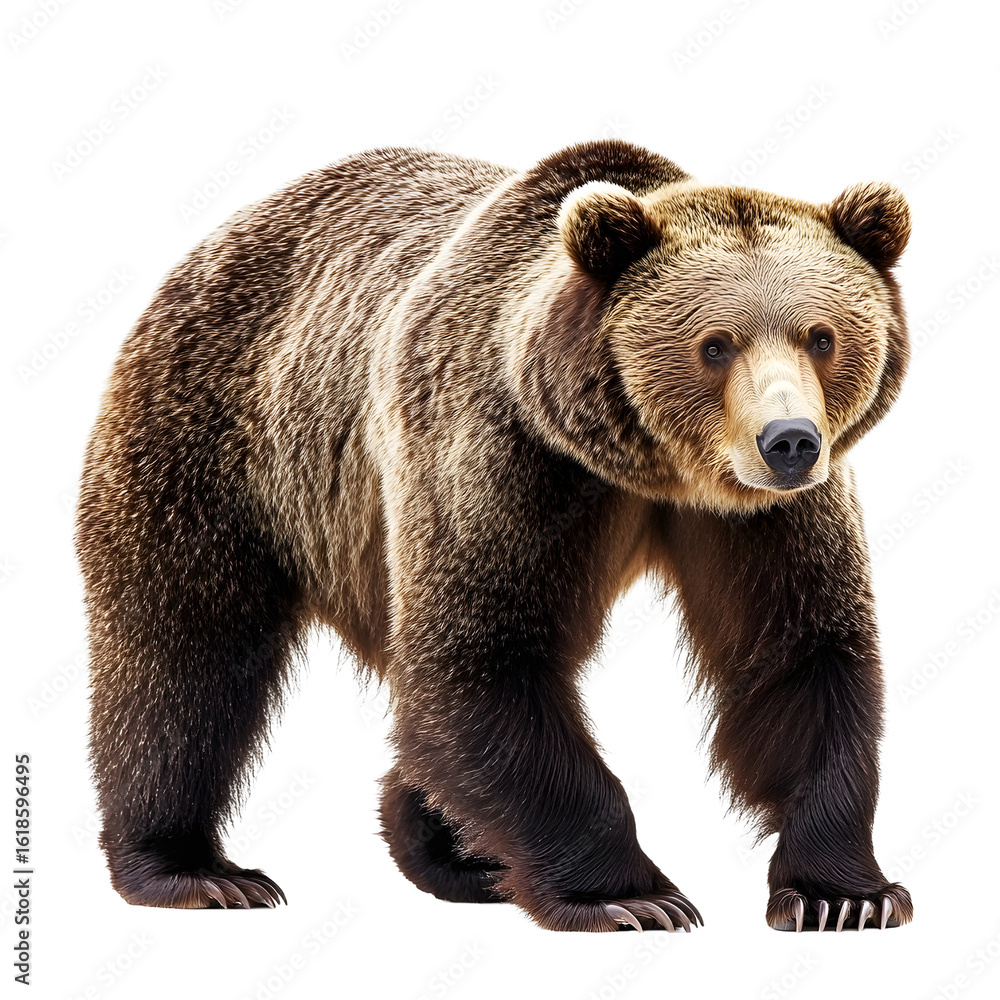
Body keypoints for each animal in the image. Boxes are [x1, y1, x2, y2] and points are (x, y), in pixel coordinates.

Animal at [76, 139, 913, 933]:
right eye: (716, 343)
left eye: (822, 336)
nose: (789, 440)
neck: (647, 467)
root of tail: (218, 237)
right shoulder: (497, 452)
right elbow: (483, 654)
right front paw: (632, 897)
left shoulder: (764, 515)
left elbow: (797, 655)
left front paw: (843, 894)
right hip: (214, 441)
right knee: (183, 655)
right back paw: (195, 870)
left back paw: (453, 853)